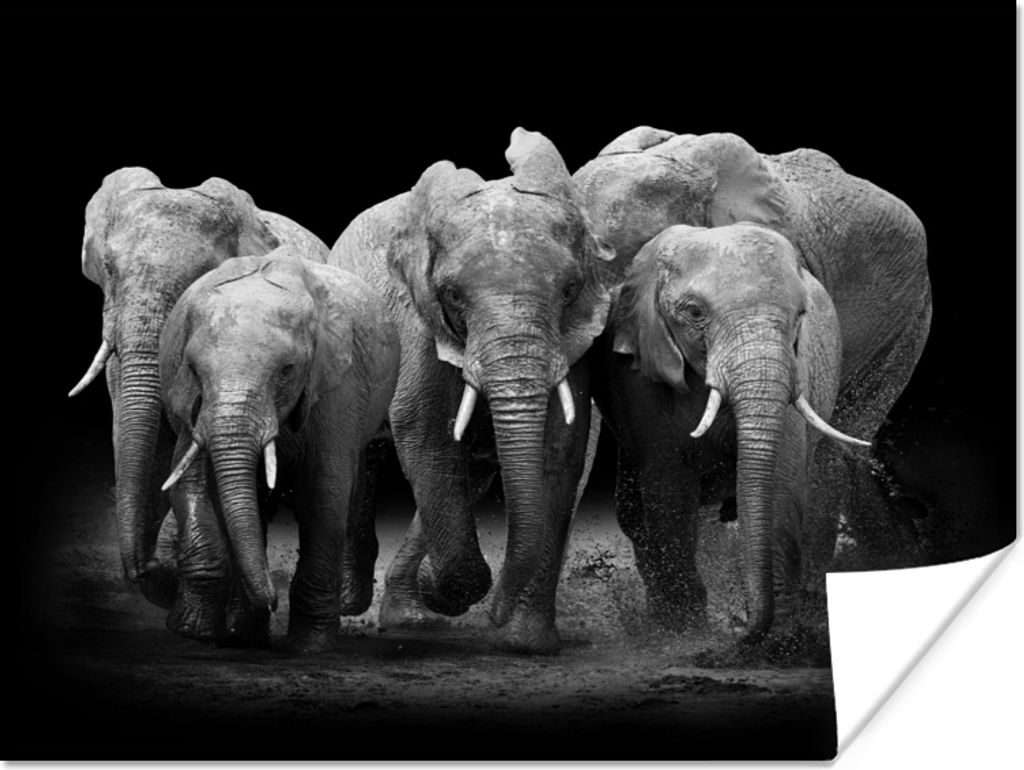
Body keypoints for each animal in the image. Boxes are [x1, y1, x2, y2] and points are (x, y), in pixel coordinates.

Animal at [158, 251, 399, 651]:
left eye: (287, 370)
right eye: (193, 369)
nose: (273, 600)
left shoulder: (338, 385)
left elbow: (325, 491)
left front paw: (310, 647)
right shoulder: (191, 402)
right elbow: (189, 482)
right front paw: (192, 631)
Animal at [329, 128, 614, 654]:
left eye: (569, 290)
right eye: (453, 296)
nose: (495, 616)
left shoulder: (575, 340)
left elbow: (562, 449)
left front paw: (527, 643)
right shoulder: (417, 321)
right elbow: (423, 432)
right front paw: (450, 592)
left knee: (469, 472)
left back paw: (410, 616)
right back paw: (350, 601)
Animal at [597, 222, 868, 642]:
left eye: (801, 314)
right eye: (694, 312)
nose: (739, 628)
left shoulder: (797, 369)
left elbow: (780, 483)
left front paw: (780, 636)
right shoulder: (640, 375)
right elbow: (668, 490)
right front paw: (687, 633)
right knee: (635, 514)